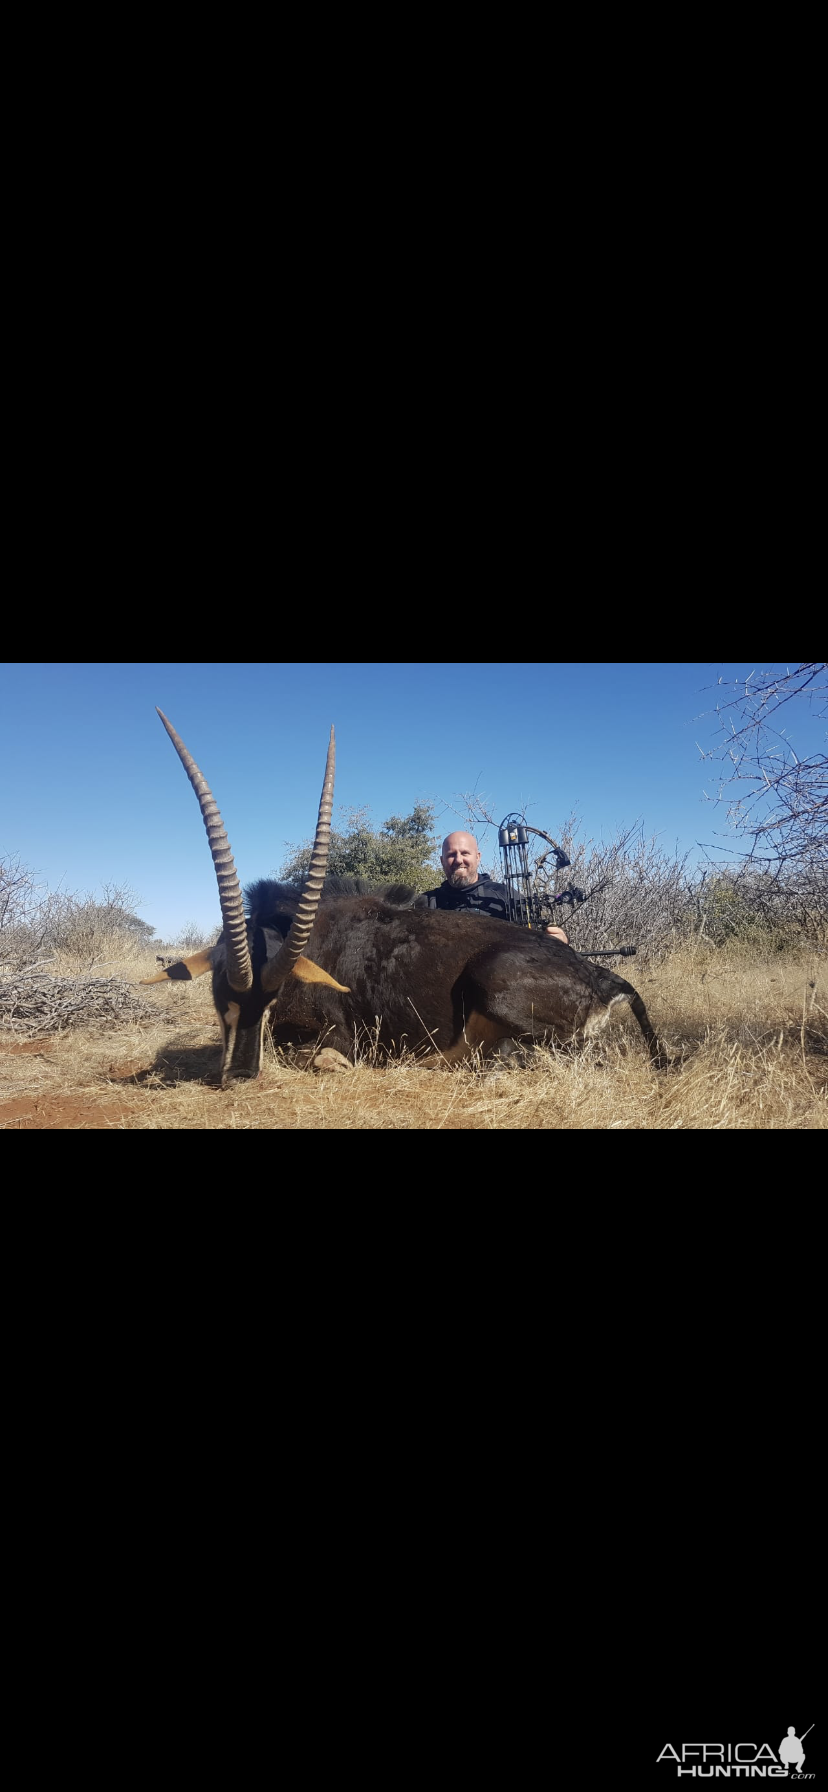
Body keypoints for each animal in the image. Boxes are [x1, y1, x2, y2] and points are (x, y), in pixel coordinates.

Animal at [145, 709, 670, 1075]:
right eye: (220, 991)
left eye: (272, 997)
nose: (239, 1073)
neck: (311, 939)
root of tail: (604, 977)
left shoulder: (340, 1035)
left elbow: (322, 1057)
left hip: (494, 984)